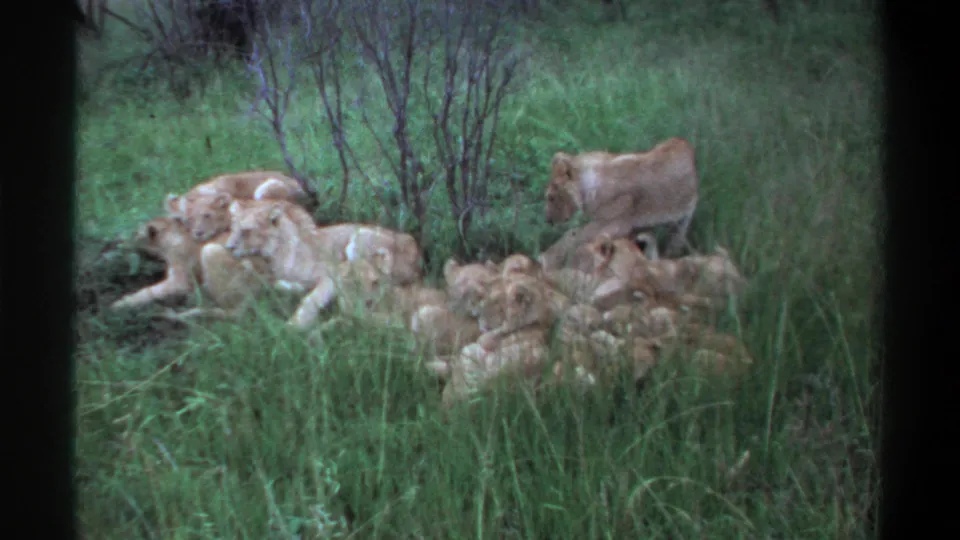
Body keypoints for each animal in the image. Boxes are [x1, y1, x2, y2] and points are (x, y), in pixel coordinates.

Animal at [543, 137, 699, 259]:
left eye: (551, 197)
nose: (548, 221)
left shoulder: (617, 223)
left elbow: (576, 236)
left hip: (683, 219)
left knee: (676, 241)